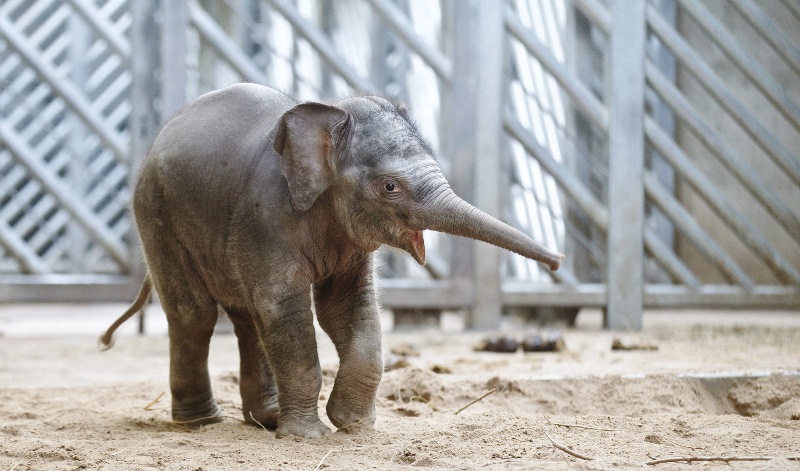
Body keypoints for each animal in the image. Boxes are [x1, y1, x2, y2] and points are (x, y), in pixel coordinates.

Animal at [100, 84, 564, 438]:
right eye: (390, 187)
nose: (558, 260)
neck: (327, 118)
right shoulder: (266, 215)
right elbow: (284, 308)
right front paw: (308, 436)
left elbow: (345, 309)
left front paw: (354, 426)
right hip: (157, 214)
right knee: (195, 314)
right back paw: (201, 423)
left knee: (247, 317)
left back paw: (266, 419)